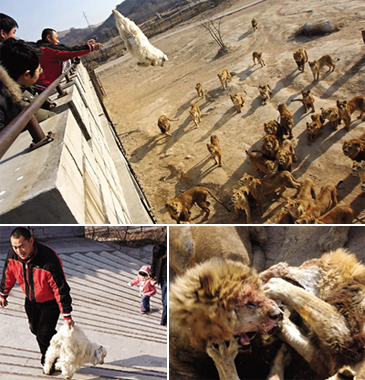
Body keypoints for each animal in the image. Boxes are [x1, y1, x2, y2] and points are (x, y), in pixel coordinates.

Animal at [262, 248, 364, 378]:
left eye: (304, 264)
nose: (284, 267)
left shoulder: (349, 339)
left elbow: (306, 297)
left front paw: (274, 284)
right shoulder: (326, 358)